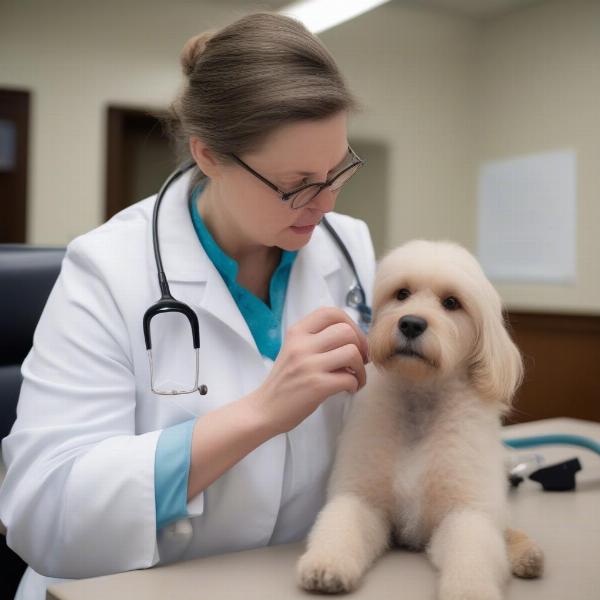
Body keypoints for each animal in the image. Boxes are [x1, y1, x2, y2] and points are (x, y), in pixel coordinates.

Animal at [296, 240, 544, 600]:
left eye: (451, 302)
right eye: (402, 293)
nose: (411, 323)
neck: (420, 401)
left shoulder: (465, 512)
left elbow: (473, 551)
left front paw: (469, 589)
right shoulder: (363, 499)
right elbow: (340, 526)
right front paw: (326, 565)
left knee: (505, 530)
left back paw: (526, 554)